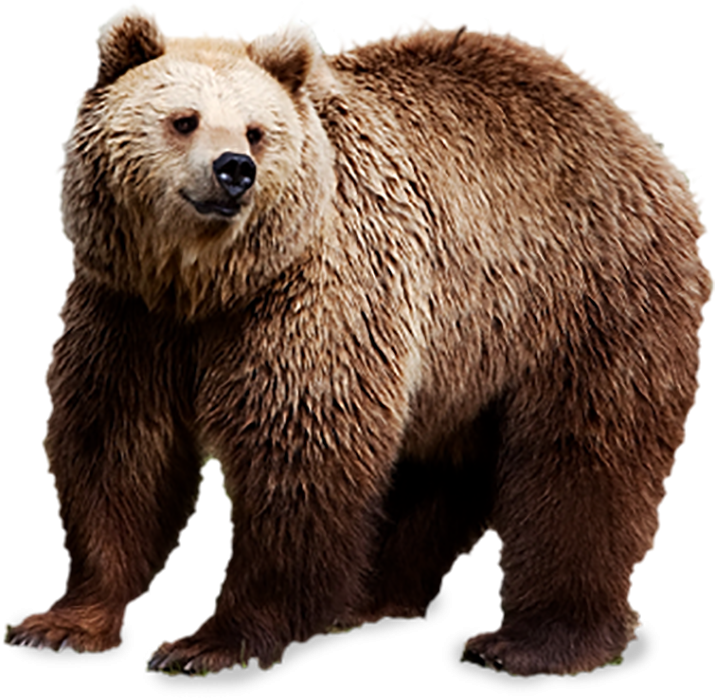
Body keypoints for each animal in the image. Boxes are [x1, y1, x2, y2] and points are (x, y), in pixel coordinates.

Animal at [3, 3, 711, 679]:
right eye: (184, 119)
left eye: (257, 131)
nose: (235, 171)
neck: (205, 284)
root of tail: (635, 135)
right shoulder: (130, 314)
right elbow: (116, 449)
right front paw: (61, 623)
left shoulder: (312, 294)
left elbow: (299, 453)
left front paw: (210, 642)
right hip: (464, 355)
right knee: (434, 468)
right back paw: (371, 598)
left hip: (583, 302)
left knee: (582, 463)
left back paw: (528, 642)